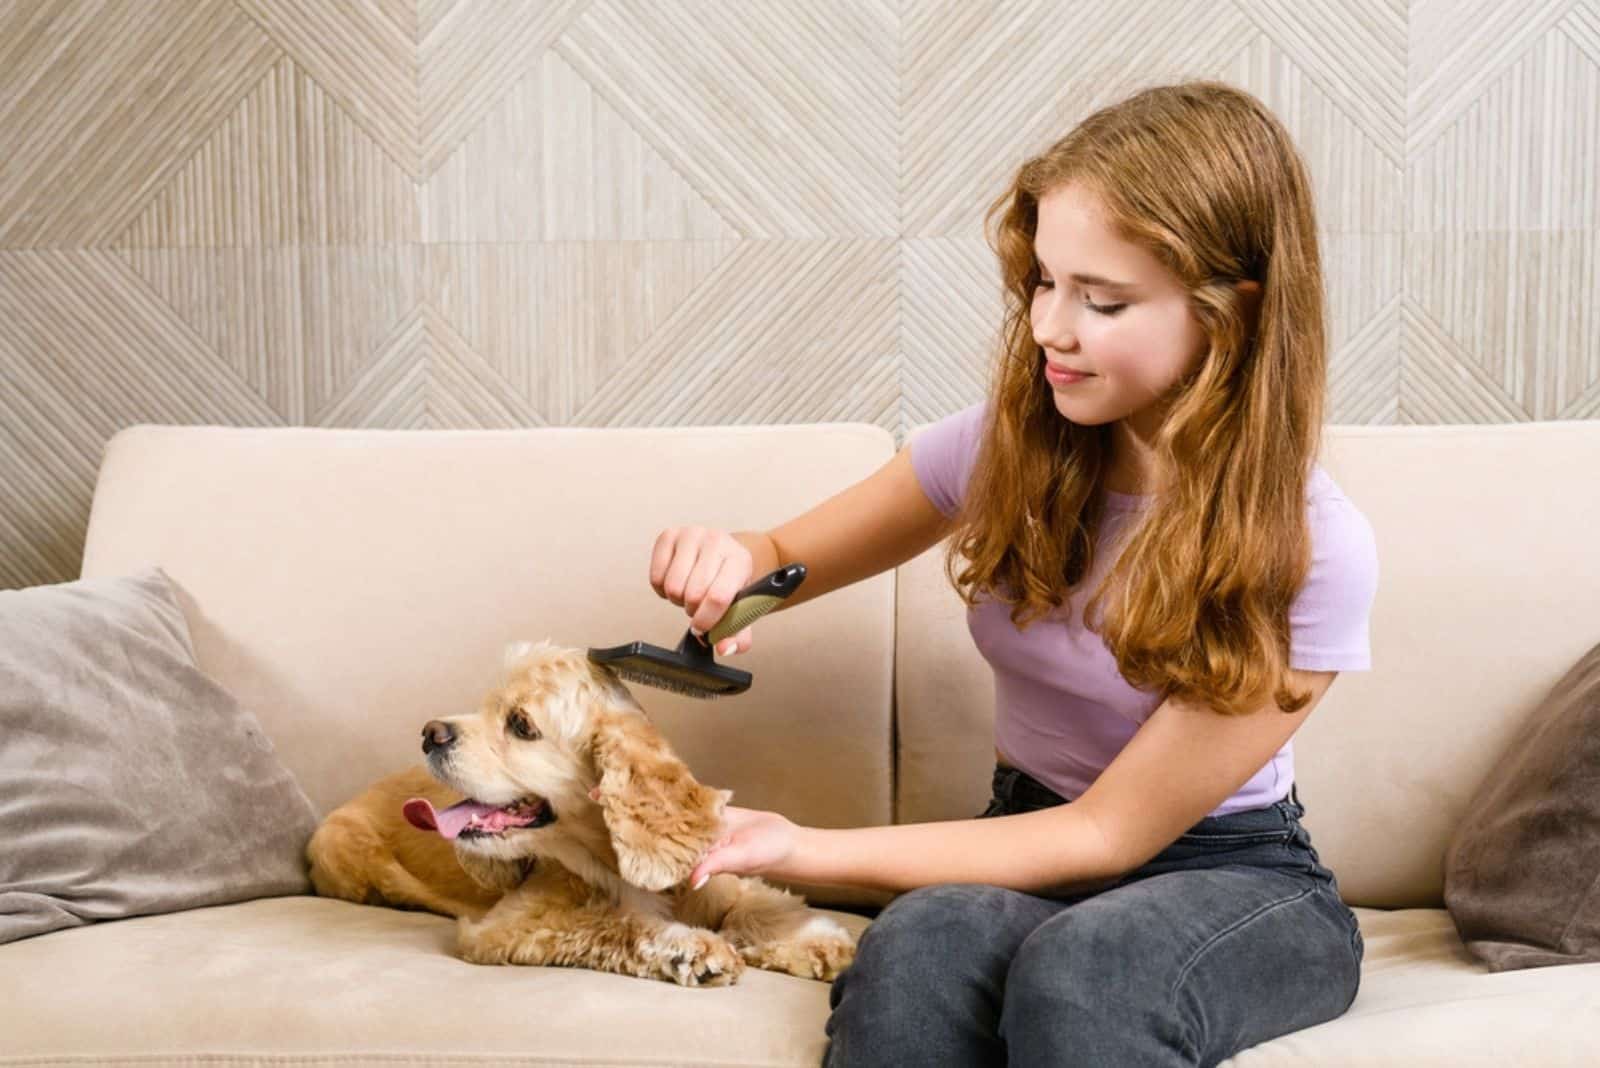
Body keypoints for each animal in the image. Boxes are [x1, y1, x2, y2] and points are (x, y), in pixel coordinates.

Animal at [300, 639, 851, 991]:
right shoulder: (508, 928)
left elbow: (759, 904)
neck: (606, 856)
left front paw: (815, 941)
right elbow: (609, 926)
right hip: (339, 844)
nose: (428, 733)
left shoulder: (718, 875)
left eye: (520, 724)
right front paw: (691, 949)